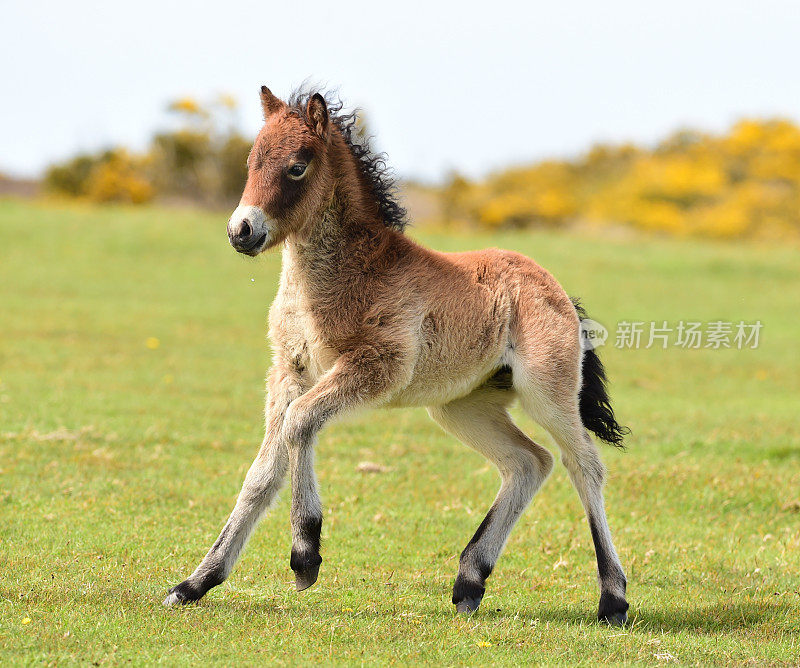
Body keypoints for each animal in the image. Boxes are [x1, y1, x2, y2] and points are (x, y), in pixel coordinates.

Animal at [164, 86, 632, 624]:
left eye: (297, 167)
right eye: (251, 161)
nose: (241, 231)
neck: (350, 273)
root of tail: (556, 290)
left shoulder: (375, 366)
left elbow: (300, 423)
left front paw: (305, 557)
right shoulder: (289, 371)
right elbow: (262, 473)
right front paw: (196, 583)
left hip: (546, 393)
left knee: (584, 464)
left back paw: (612, 598)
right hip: (461, 407)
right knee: (529, 462)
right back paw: (470, 581)